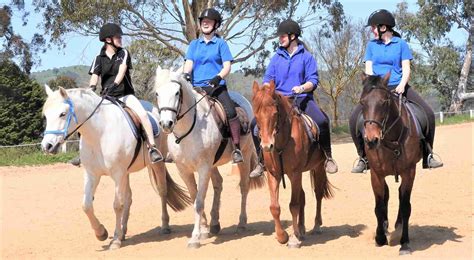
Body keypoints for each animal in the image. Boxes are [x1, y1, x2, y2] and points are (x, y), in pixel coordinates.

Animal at [39, 85, 191, 250]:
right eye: (46, 116)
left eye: (62, 114)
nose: (47, 146)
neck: (99, 133)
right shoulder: (92, 174)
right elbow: (86, 205)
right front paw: (101, 233)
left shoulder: (118, 174)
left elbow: (117, 205)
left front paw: (115, 240)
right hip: (127, 173)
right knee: (129, 198)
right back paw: (124, 231)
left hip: (157, 164)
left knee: (162, 191)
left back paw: (164, 226)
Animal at [156, 67, 266, 248]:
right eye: (157, 93)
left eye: (177, 93)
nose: (166, 124)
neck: (189, 131)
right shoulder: (183, 170)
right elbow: (194, 197)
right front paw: (204, 229)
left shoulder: (203, 168)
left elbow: (199, 202)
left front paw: (195, 237)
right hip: (213, 165)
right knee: (218, 184)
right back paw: (214, 223)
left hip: (244, 155)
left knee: (244, 187)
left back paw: (242, 223)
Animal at [252, 81, 334, 248]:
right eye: (256, 115)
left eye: (274, 113)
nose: (266, 146)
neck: (282, 141)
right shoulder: (274, 174)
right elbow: (275, 207)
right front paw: (282, 236)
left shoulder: (295, 173)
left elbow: (294, 205)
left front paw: (294, 238)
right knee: (302, 195)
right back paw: (302, 229)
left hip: (318, 167)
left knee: (318, 194)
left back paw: (316, 226)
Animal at [360, 72, 422, 255]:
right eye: (362, 102)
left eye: (384, 102)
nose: (371, 140)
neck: (391, 140)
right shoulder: (376, 174)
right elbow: (379, 206)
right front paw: (380, 238)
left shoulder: (409, 172)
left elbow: (406, 206)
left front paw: (405, 243)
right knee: (387, 196)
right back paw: (386, 226)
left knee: (401, 196)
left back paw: (398, 225)